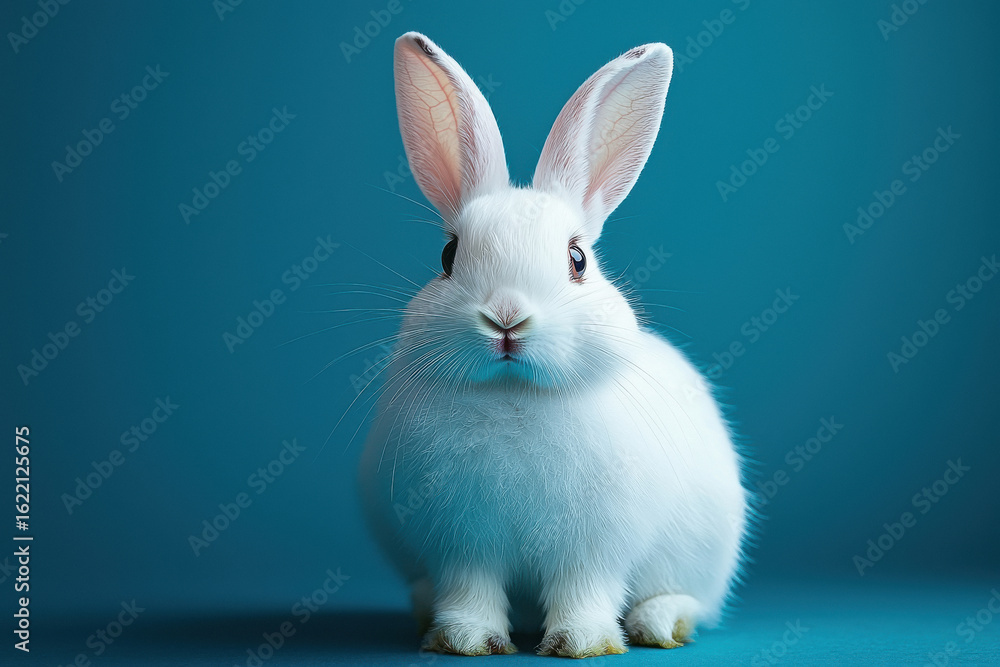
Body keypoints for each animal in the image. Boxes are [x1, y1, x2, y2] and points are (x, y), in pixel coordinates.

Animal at [357, 31, 749, 658]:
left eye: (577, 259)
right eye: (448, 256)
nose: (506, 317)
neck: (514, 396)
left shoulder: (593, 549)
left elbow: (585, 591)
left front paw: (580, 642)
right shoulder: (461, 546)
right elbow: (470, 590)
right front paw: (465, 640)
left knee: (687, 598)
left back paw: (660, 622)